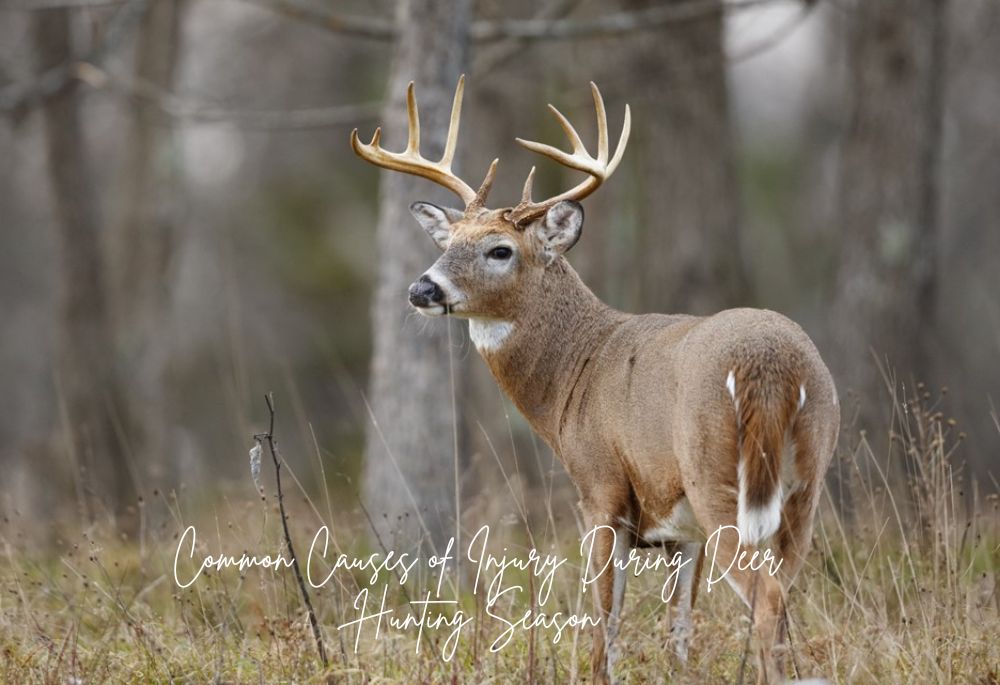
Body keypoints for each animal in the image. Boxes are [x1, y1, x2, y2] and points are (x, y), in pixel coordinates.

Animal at [351, 76, 840, 684]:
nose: (422, 289)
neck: (574, 375)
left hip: (718, 476)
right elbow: (679, 627)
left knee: (768, 598)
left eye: (499, 249)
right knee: (784, 592)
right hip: (806, 482)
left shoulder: (600, 488)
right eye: (447, 243)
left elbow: (603, 619)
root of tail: (770, 366)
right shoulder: (679, 531)